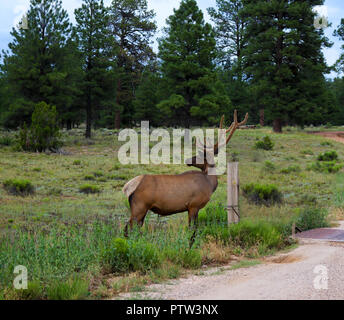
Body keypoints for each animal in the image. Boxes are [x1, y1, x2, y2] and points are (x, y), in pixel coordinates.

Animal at [122, 110, 249, 238]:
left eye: (199, 155)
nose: (188, 160)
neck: (210, 184)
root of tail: (127, 187)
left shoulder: (192, 208)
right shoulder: (194, 205)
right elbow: (192, 230)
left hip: (141, 209)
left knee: (135, 228)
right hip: (140, 206)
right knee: (128, 228)